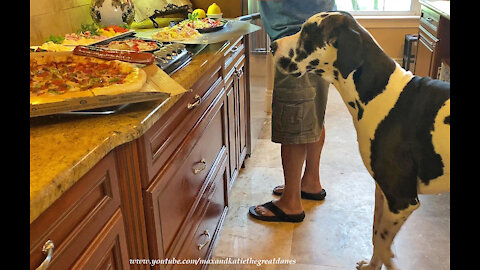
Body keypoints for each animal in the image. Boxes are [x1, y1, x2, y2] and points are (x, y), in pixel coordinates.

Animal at [270, 11, 450, 270]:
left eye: (307, 31)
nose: (272, 46)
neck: (379, 94)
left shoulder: (401, 200)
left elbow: (384, 244)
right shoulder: (382, 192)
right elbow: (376, 233)